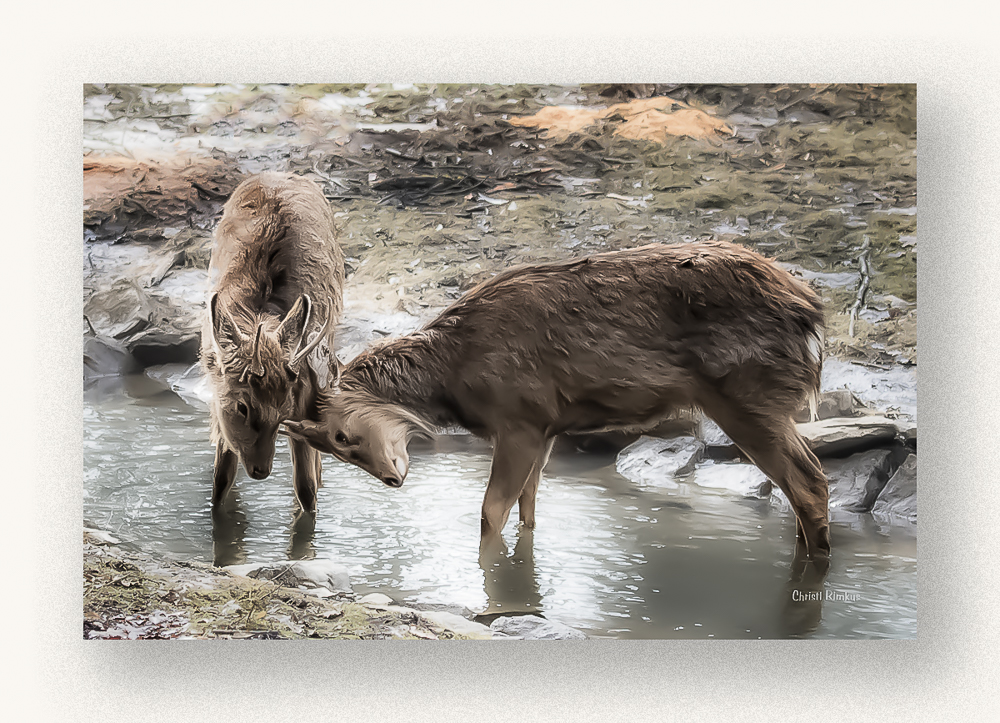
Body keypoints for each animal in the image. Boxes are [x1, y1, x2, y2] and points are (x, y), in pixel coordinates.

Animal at [199, 174, 348, 516]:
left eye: (282, 412)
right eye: (243, 406)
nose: (261, 471)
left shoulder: (305, 384)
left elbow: (305, 487)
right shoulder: (217, 391)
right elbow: (220, 480)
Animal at [286, 243, 832, 560]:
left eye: (342, 437)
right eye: (335, 449)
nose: (393, 479)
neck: (456, 374)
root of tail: (811, 314)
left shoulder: (519, 416)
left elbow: (491, 510)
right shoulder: (548, 424)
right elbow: (529, 505)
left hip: (746, 393)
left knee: (808, 482)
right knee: (805, 484)